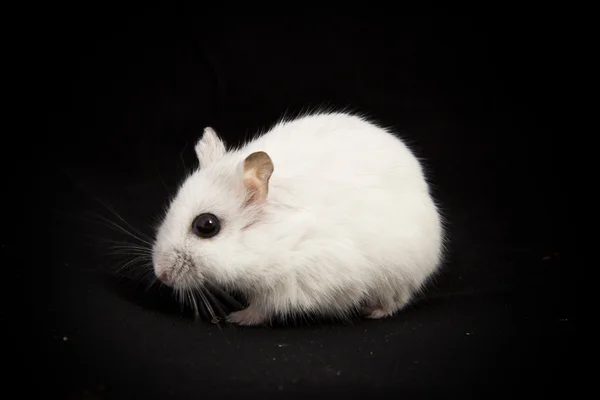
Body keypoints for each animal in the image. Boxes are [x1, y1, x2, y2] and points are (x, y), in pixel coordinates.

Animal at [152, 111, 446, 326]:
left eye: (206, 225)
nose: (161, 274)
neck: (278, 235)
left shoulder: (295, 284)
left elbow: (263, 307)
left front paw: (236, 318)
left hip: (401, 272)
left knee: (397, 299)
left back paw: (374, 311)